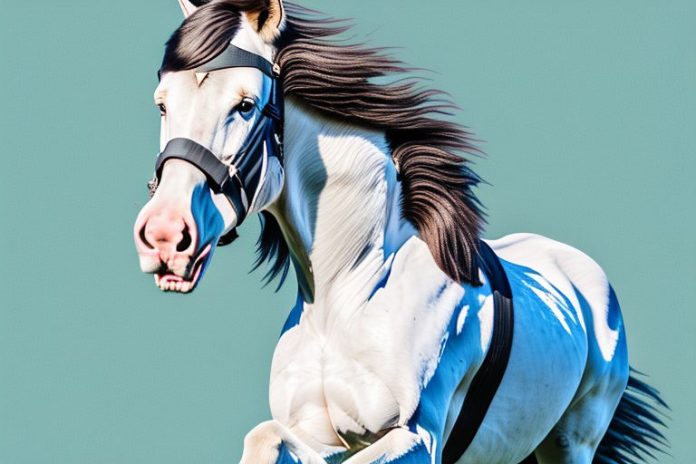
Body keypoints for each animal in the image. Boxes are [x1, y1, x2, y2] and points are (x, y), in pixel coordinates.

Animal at [133, 1, 668, 462]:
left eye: (245, 105)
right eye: (162, 105)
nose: (165, 236)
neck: (348, 298)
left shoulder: (415, 439)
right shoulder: (316, 438)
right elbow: (264, 438)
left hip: (571, 443)